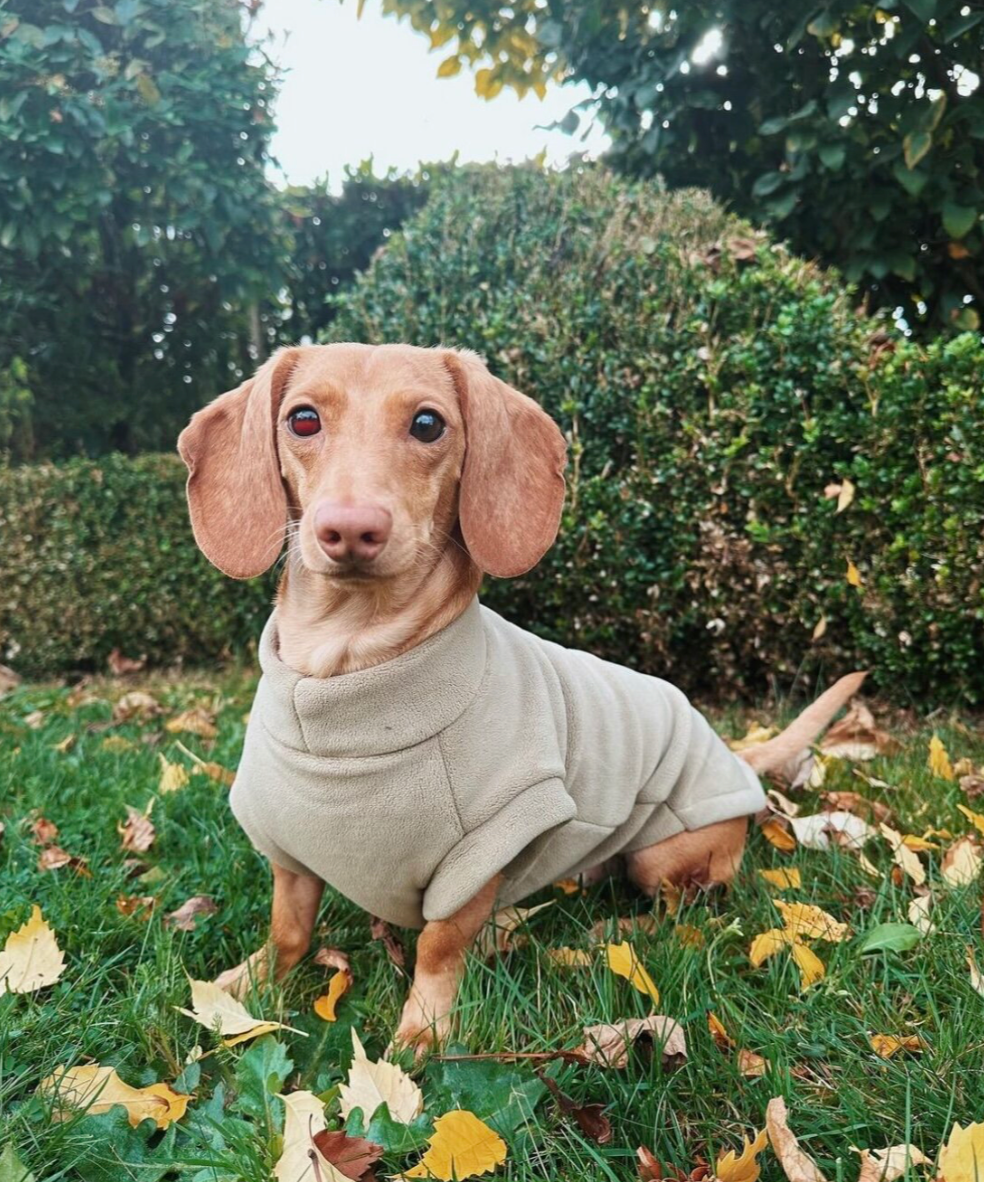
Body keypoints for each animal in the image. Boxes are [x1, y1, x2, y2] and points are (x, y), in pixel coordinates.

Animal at [177, 342, 861, 1054]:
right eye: (303, 419)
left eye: (428, 424)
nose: (350, 529)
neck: (351, 680)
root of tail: (730, 752)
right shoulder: (289, 853)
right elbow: (289, 930)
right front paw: (245, 987)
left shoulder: (480, 858)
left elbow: (439, 949)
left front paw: (423, 1033)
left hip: (665, 853)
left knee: (684, 911)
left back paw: (613, 931)